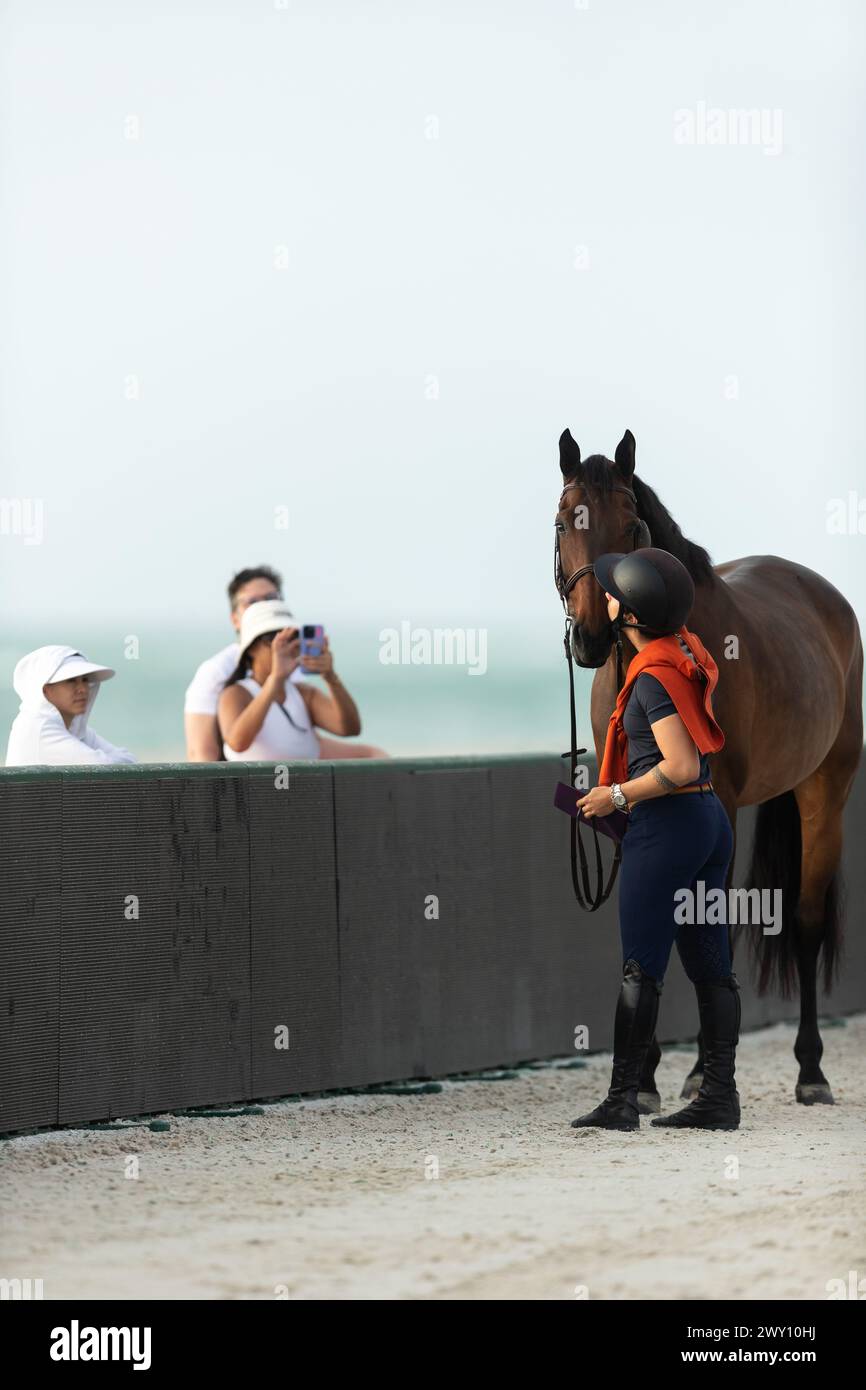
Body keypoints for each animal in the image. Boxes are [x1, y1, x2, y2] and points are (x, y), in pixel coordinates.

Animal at [558, 425, 861, 1106]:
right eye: (564, 520)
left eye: (630, 524)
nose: (590, 635)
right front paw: (648, 1076)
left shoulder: (709, 800)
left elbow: (698, 924)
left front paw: (680, 1074)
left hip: (823, 794)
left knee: (802, 922)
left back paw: (810, 1071)